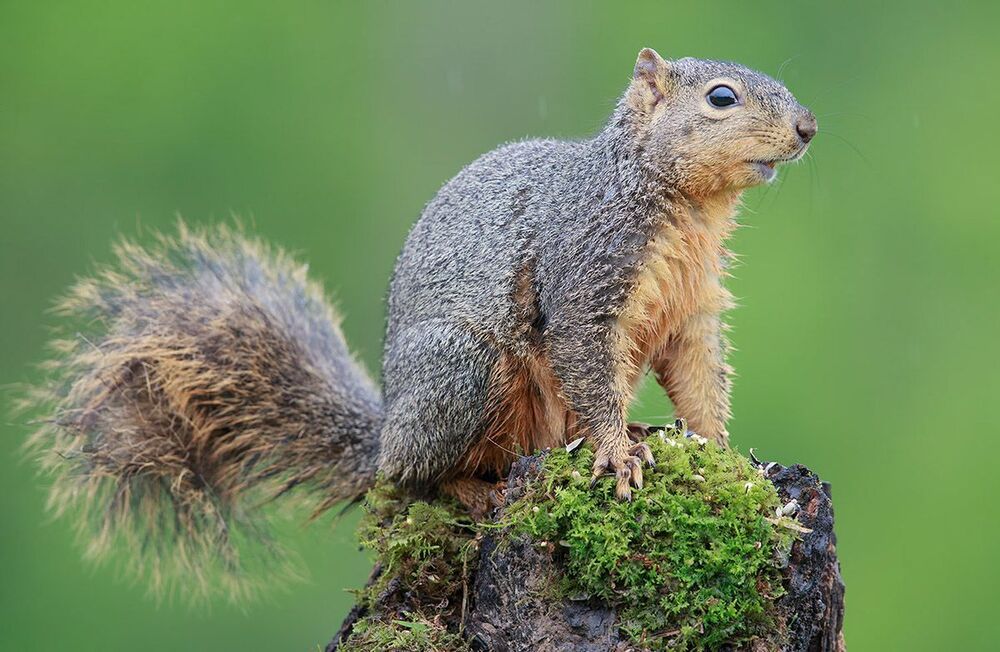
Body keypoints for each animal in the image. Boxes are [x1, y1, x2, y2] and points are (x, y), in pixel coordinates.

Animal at [24, 48, 815, 598]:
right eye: (721, 98)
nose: (807, 128)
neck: (683, 207)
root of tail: (386, 431)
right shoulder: (584, 274)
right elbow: (588, 365)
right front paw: (619, 454)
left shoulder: (692, 313)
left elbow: (699, 379)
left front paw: (725, 457)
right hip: (465, 371)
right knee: (413, 483)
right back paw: (472, 488)